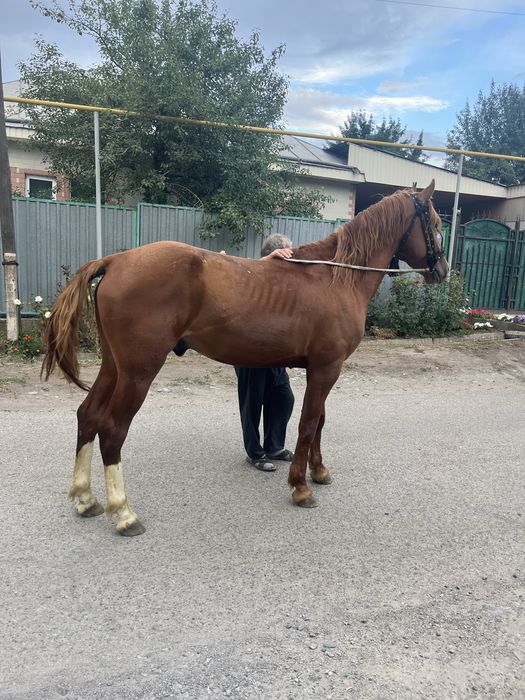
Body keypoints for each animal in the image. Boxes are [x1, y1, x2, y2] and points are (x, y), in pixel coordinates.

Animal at [42, 180, 448, 536]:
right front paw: (301, 486)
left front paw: (318, 471)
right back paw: (124, 513)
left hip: (115, 367)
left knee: (88, 416)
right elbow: (308, 423)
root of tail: (117, 260)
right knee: (112, 430)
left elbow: (319, 420)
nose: (442, 271)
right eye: (436, 223)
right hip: (138, 373)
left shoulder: (322, 369)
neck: (337, 278)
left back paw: (85, 499)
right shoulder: (326, 368)